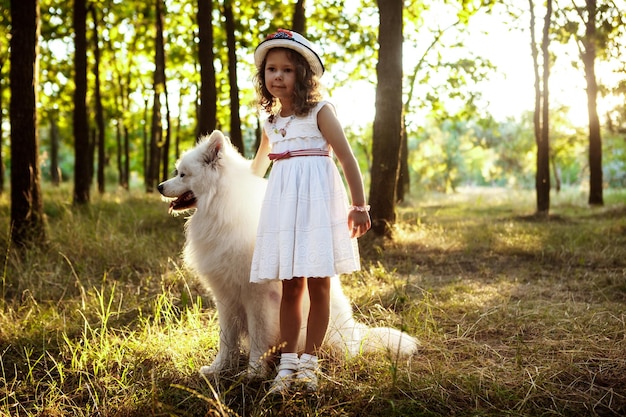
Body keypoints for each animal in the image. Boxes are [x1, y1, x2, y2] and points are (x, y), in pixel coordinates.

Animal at [158, 130, 416, 376]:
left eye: (182, 174)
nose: (160, 186)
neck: (221, 206)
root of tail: (355, 334)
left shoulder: (258, 298)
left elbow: (258, 336)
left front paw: (254, 372)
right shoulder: (226, 297)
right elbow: (226, 340)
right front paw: (218, 369)